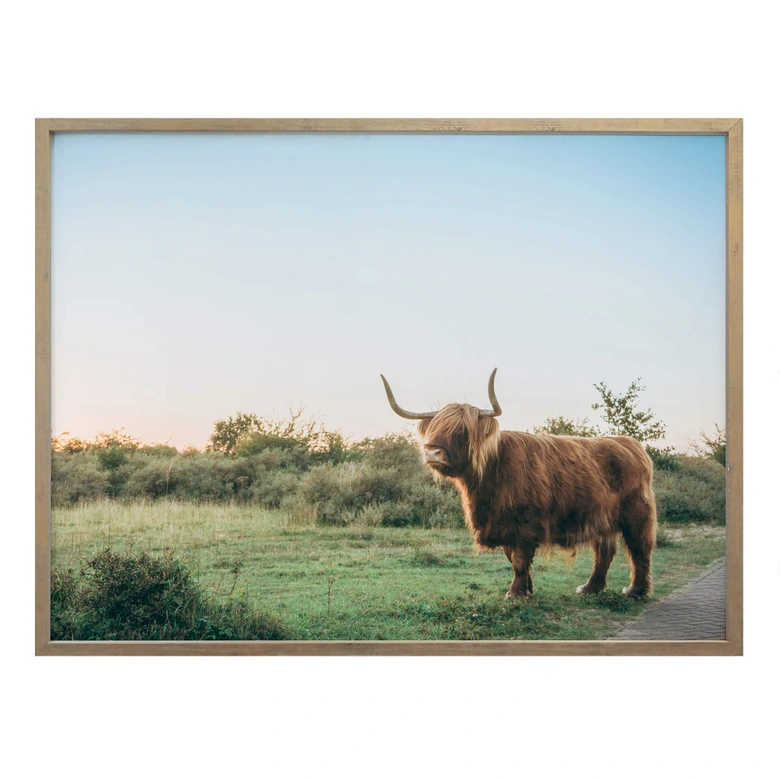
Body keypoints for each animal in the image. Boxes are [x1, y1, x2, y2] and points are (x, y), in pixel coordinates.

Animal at [380, 369, 656, 599]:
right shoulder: (502, 523)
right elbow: (512, 557)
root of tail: (629, 443)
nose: (431, 452)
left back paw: (636, 591)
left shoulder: (527, 522)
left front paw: (515, 593)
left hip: (636, 513)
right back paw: (590, 588)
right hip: (602, 516)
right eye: (434, 428)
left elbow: (521, 559)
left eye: (462, 431)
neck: (492, 473)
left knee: (639, 548)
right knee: (604, 551)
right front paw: (527, 589)